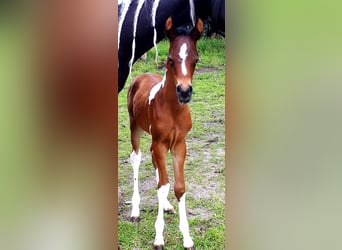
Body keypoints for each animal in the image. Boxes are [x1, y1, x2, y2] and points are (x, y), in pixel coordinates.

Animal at [127, 16, 203, 249]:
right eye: (170, 60)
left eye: (195, 60)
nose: (184, 92)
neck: (172, 109)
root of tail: (141, 75)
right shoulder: (160, 143)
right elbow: (163, 186)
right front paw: (159, 237)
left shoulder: (179, 144)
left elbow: (177, 186)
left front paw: (187, 237)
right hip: (135, 128)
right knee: (137, 158)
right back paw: (135, 211)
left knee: (154, 164)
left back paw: (167, 205)